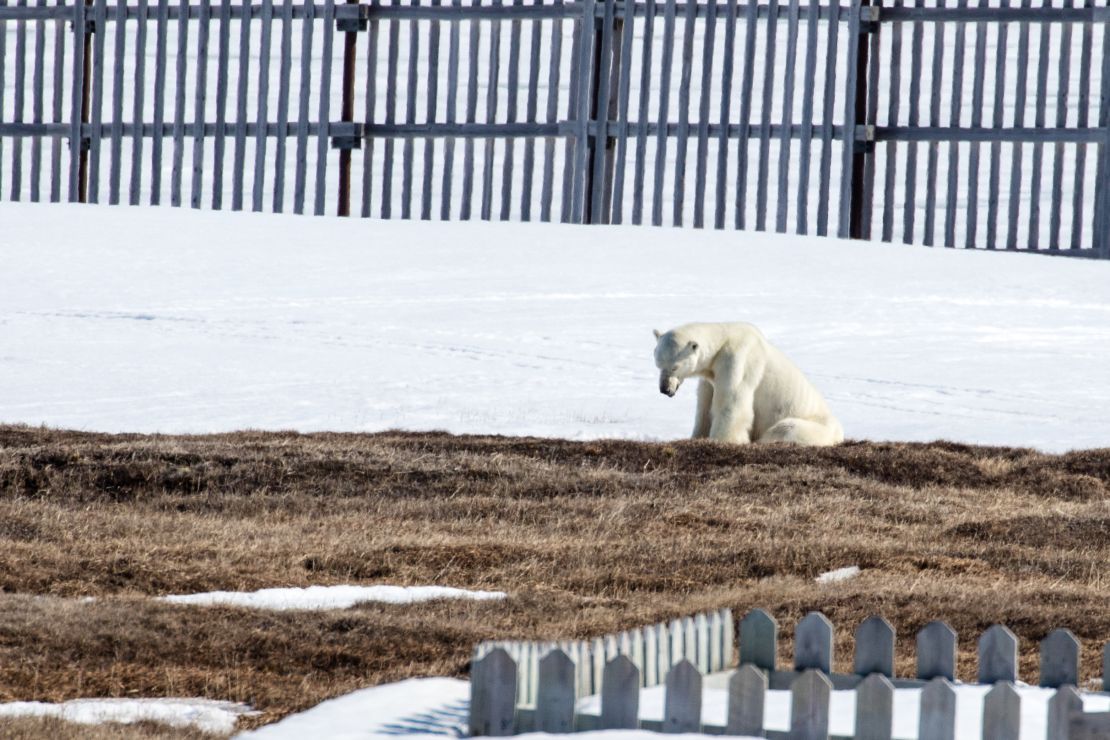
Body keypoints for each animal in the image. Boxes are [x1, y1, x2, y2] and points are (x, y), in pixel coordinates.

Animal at [648, 321, 839, 445]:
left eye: (675, 367)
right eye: (658, 364)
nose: (665, 389)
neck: (724, 340)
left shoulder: (737, 359)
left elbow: (731, 401)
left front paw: (723, 440)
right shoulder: (711, 376)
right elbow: (704, 404)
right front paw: (697, 436)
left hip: (815, 426)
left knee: (785, 428)